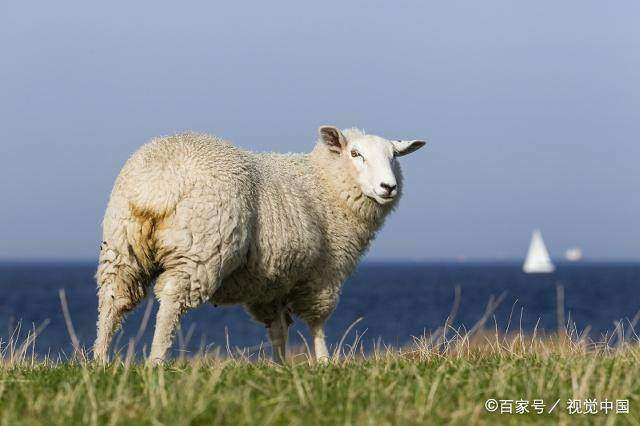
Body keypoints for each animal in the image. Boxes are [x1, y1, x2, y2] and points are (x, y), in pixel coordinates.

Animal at [94, 125, 424, 362]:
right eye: (355, 154)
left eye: (394, 156)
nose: (388, 187)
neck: (323, 184)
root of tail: (158, 181)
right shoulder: (323, 275)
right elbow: (317, 324)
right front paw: (324, 363)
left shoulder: (271, 283)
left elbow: (277, 330)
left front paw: (281, 368)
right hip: (200, 249)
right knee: (171, 301)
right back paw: (156, 362)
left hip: (122, 243)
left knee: (113, 298)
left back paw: (99, 362)